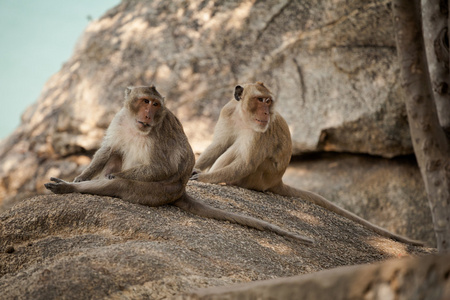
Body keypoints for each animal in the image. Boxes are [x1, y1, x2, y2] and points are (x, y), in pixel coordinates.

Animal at [44, 85, 312, 245]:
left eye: (155, 105)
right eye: (144, 101)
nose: (148, 115)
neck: (134, 124)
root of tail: (180, 191)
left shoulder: (158, 134)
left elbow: (162, 167)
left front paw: (104, 178)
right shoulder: (119, 119)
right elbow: (108, 149)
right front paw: (82, 176)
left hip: (156, 192)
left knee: (123, 186)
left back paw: (71, 188)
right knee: (117, 153)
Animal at [191, 82, 426, 246]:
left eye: (268, 101)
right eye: (259, 100)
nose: (266, 112)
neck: (243, 116)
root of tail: (277, 181)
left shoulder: (261, 132)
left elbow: (245, 163)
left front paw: (203, 177)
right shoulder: (227, 112)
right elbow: (217, 145)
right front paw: (195, 169)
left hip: (259, 177)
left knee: (238, 153)